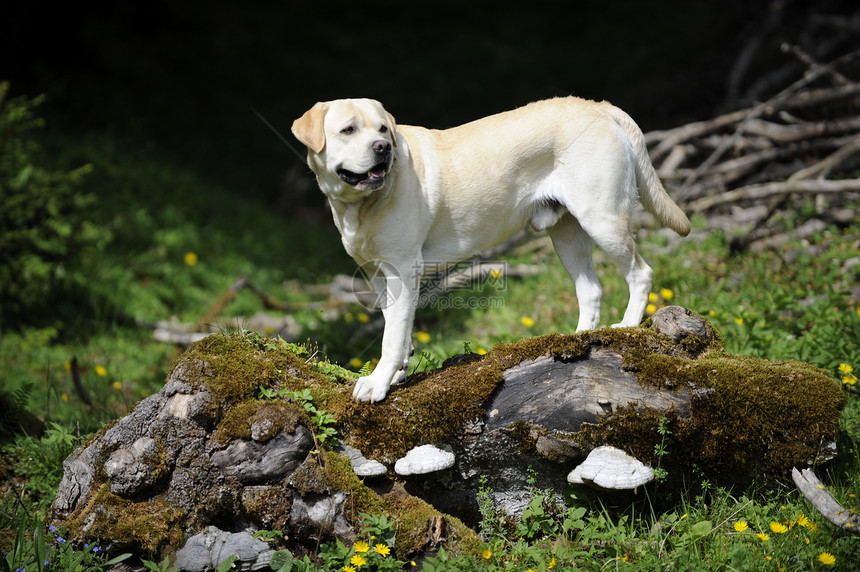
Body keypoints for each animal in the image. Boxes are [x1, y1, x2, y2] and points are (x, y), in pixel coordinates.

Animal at [292, 97, 688, 402]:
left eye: (383, 130)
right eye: (348, 130)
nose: (383, 149)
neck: (360, 205)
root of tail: (601, 106)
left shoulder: (402, 270)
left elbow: (391, 336)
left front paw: (377, 384)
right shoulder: (378, 275)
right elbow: (396, 327)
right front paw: (398, 372)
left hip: (603, 220)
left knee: (641, 273)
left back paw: (627, 325)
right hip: (567, 235)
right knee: (591, 289)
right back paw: (577, 341)